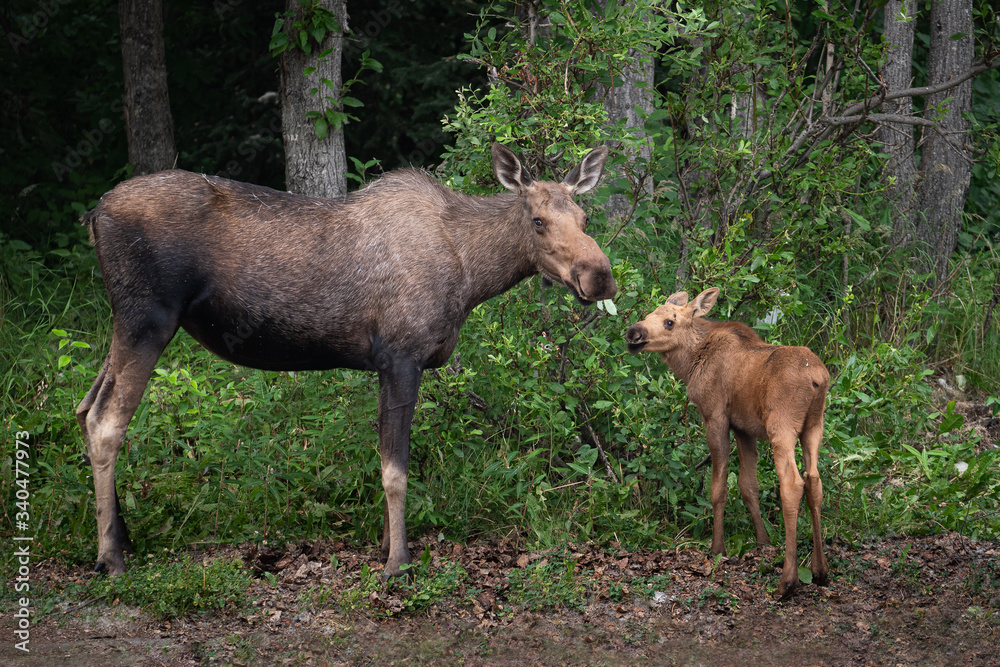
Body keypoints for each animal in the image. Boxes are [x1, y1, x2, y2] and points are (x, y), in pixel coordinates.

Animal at [78, 145, 612, 580]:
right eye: (538, 221)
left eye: (585, 218)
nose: (600, 276)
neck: (472, 275)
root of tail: (95, 213)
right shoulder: (401, 355)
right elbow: (396, 469)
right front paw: (398, 562)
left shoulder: (386, 365)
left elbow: (386, 458)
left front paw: (385, 546)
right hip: (147, 319)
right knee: (107, 422)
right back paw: (111, 558)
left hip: (126, 324)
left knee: (84, 408)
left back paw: (121, 537)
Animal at [624, 284, 828, 596]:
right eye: (648, 315)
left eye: (669, 322)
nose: (633, 332)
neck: (690, 363)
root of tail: (818, 378)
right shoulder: (744, 428)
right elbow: (748, 485)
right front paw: (763, 541)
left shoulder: (716, 416)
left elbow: (718, 487)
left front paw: (717, 548)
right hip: (814, 426)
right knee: (814, 481)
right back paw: (820, 571)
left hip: (781, 426)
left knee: (793, 484)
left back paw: (787, 581)